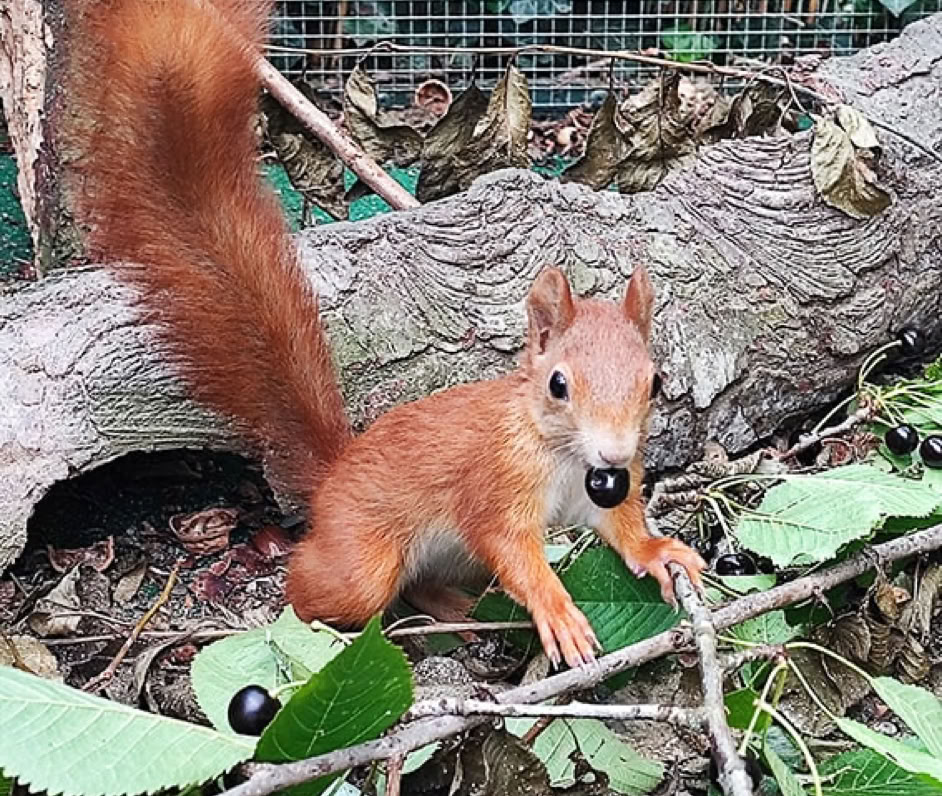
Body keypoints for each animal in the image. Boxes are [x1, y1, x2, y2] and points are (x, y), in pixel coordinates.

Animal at [68, 0, 705, 668]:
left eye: (654, 382)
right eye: (559, 384)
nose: (613, 456)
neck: (558, 453)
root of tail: (332, 481)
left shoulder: (600, 494)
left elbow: (621, 527)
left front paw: (659, 550)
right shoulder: (493, 489)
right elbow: (513, 551)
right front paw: (557, 610)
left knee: (422, 584)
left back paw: (457, 610)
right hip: (362, 563)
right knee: (315, 587)